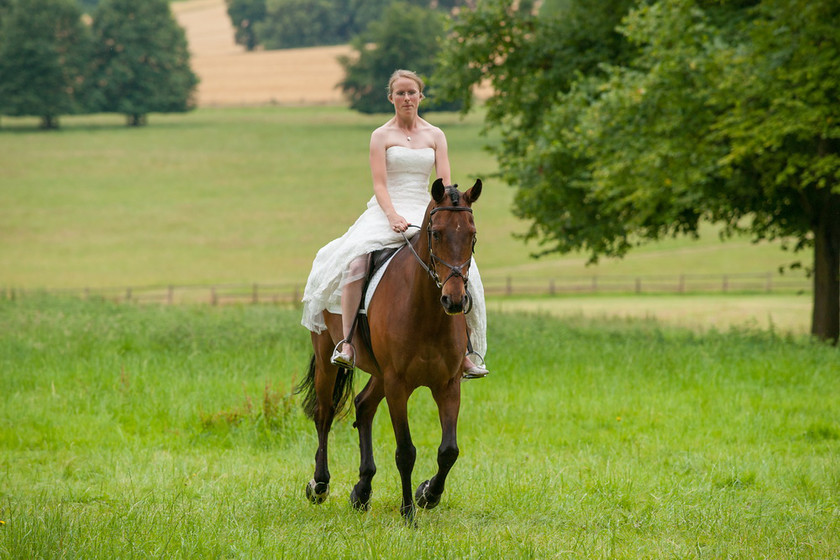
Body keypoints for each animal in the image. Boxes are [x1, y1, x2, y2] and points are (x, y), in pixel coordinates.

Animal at [296, 178, 482, 520]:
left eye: (471, 235)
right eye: (436, 233)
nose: (454, 300)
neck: (426, 311)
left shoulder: (448, 384)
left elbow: (449, 450)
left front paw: (428, 494)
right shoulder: (398, 384)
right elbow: (405, 451)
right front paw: (409, 513)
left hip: (380, 373)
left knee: (363, 405)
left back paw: (362, 490)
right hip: (329, 357)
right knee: (324, 414)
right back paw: (319, 485)